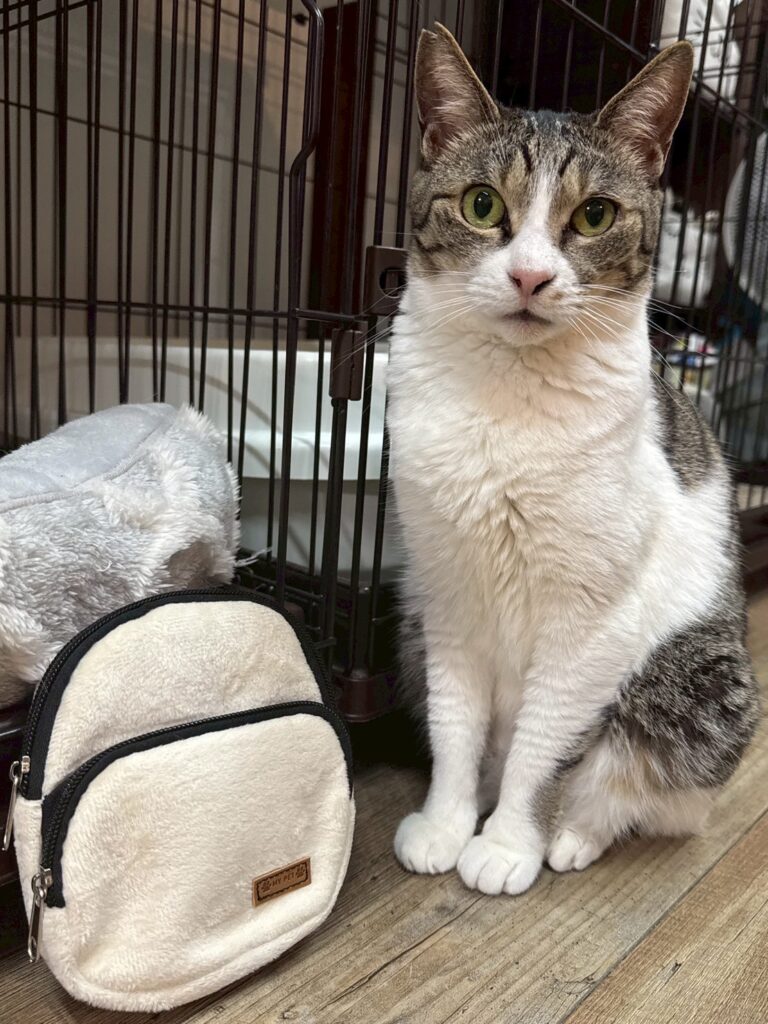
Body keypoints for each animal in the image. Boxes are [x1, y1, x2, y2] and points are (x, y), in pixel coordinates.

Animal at [387, 24, 760, 897]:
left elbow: (546, 747)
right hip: (410, 620)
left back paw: (573, 839)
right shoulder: (446, 596)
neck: (507, 405)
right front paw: (447, 824)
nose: (531, 275)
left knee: (636, 788)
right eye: (482, 204)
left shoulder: (592, 623)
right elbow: (455, 726)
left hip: (696, 679)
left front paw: (507, 844)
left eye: (594, 215)